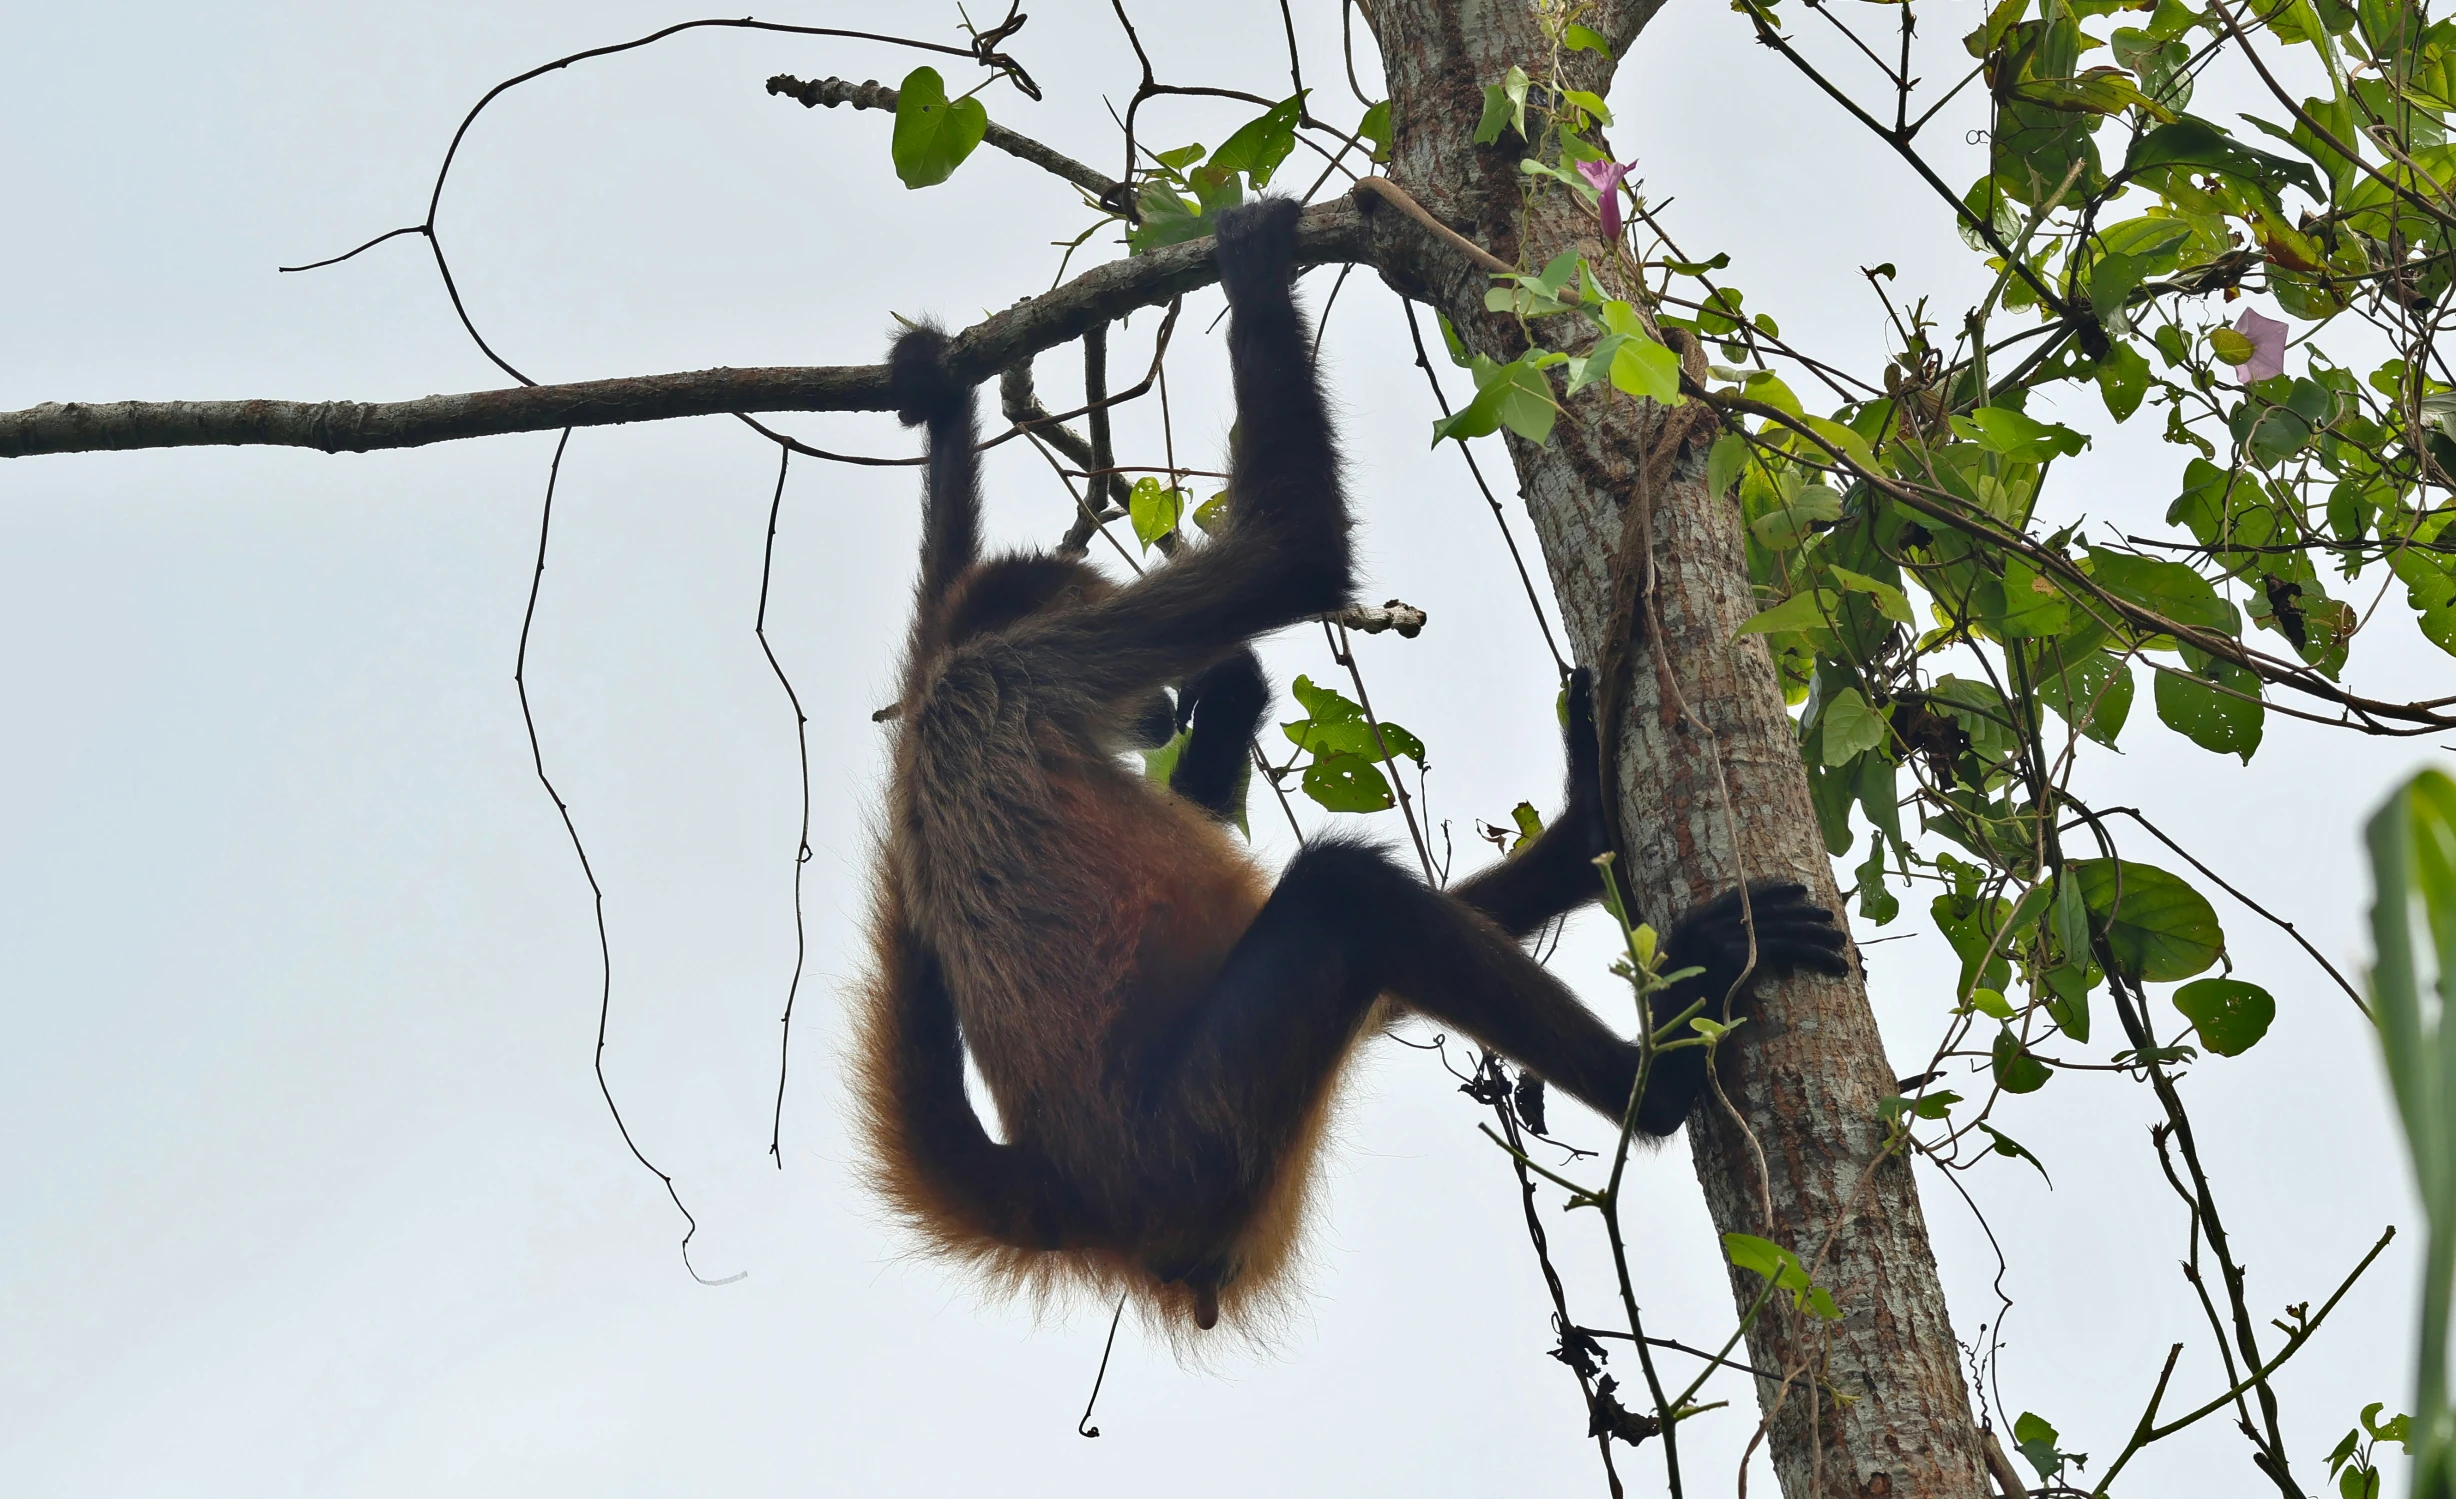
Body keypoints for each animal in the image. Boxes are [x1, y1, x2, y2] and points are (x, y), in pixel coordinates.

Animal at [859, 199, 1846, 1326]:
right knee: (1345, 894)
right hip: (1207, 1134)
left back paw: (1590, 853)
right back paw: (1667, 1073)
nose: (1159, 710)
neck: (951, 687)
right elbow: (1292, 556)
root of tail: (1073, 1186)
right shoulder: (1033, 669)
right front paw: (1251, 265)